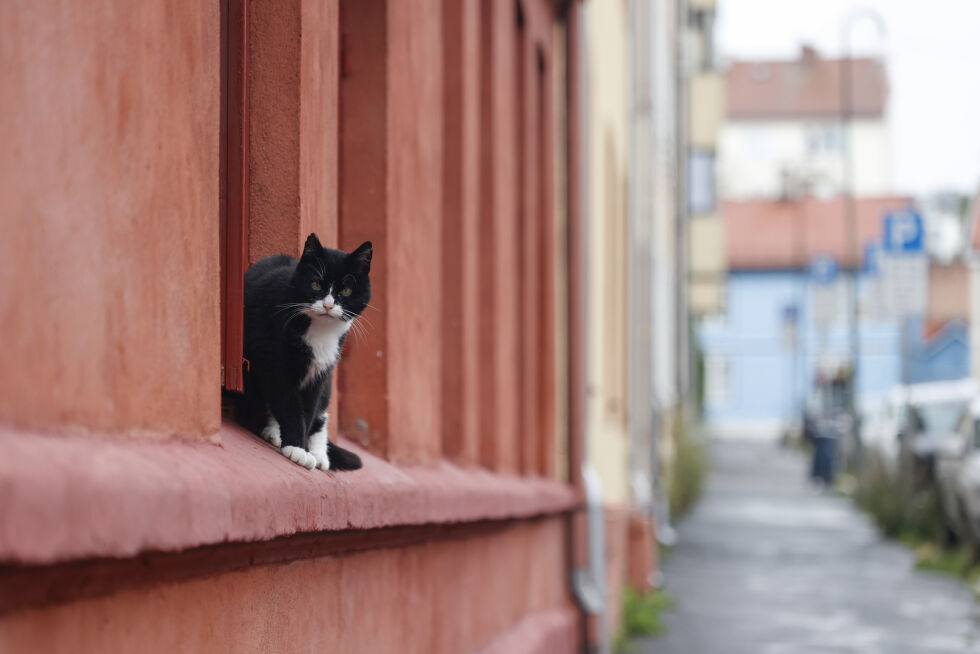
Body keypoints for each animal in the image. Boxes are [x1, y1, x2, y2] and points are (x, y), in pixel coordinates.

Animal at [237, 234, 372, 472]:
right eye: (316, 284)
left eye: (346, 291)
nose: (328, 305)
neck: (320, 331)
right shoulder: (276, 361)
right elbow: (289, 404)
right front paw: (297, 448)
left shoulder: (320, 372)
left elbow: (309, 410)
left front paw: (306, 450)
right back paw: (274, 432)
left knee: (321, 414)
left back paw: (320, 453)